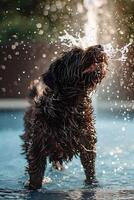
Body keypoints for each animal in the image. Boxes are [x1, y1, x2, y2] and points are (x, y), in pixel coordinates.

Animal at [21, 45, 108, 189]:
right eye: (76, 53)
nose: (100, 46)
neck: (70, 105)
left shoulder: (87, 141)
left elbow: (89, 168)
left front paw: (92, 184)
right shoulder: (38, 144)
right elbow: (36, 172)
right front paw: (33, 187)